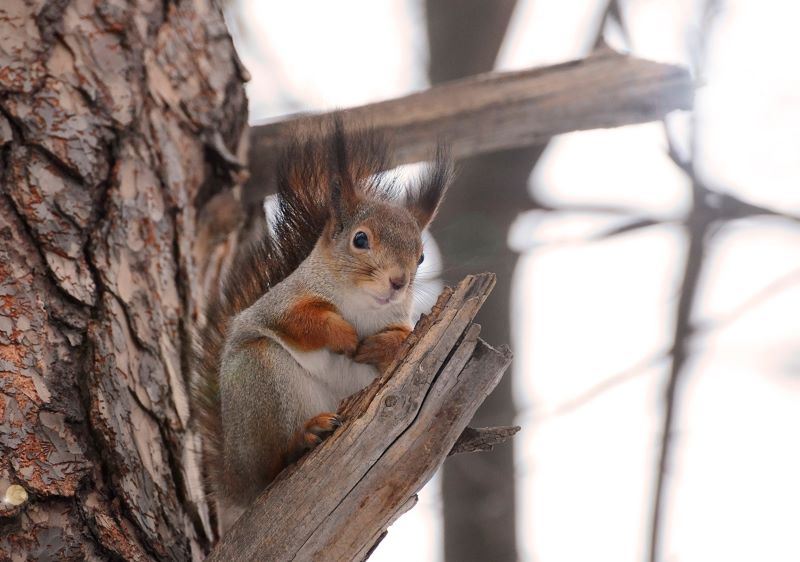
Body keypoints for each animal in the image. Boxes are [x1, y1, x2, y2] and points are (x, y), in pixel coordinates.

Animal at [191, 119, 454, 528]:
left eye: (421, 256)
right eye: (360, 239)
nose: (398, 282)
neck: (362, 306)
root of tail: (233, 488)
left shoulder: (399, 321)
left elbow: (403, 339)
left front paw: (379, 346)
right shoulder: (280, 304)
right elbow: (301, 321)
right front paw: (344, 337)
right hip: (258, 378)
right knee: (268, 468)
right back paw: (303, 438)